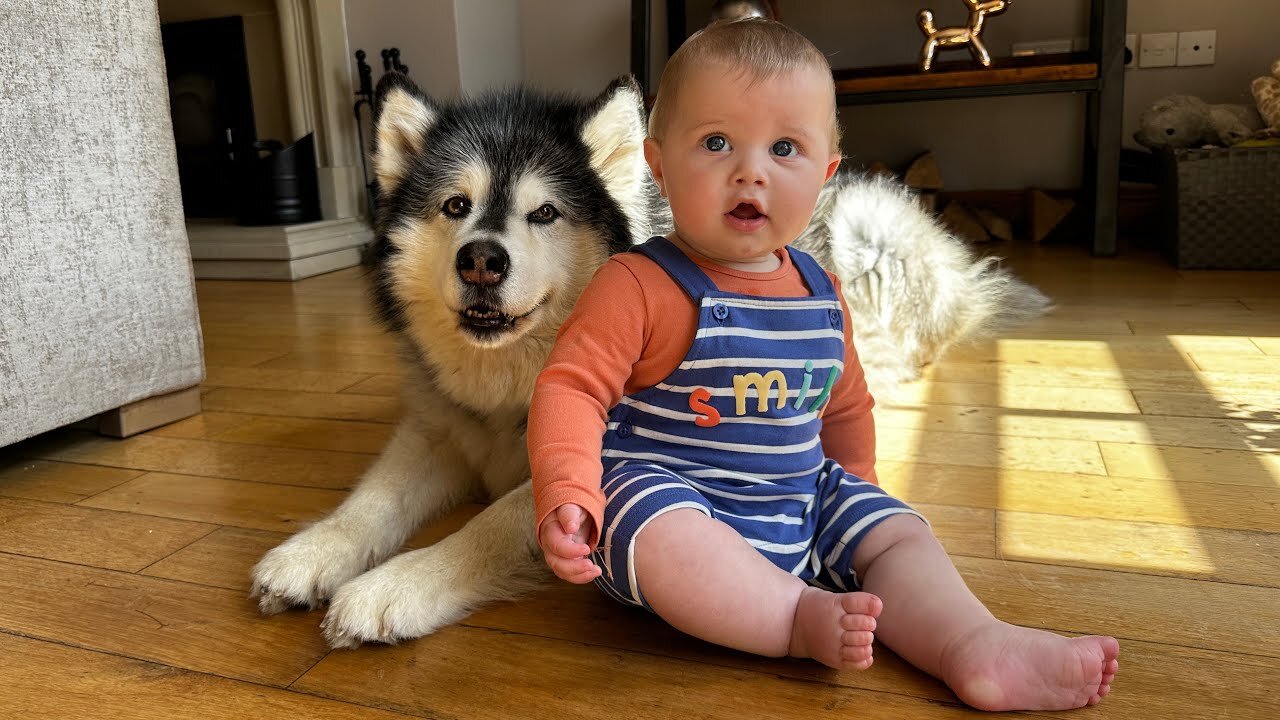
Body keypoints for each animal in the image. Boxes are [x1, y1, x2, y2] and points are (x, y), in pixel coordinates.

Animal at [249, 71, 1049, 645]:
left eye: (545, 213)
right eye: (455, 207)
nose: (481, 260)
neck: (515, 382)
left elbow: (489, 525)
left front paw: (395, 586)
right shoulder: (439, 431)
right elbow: (371, 500)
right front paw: (313, 551)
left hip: (865, 233)